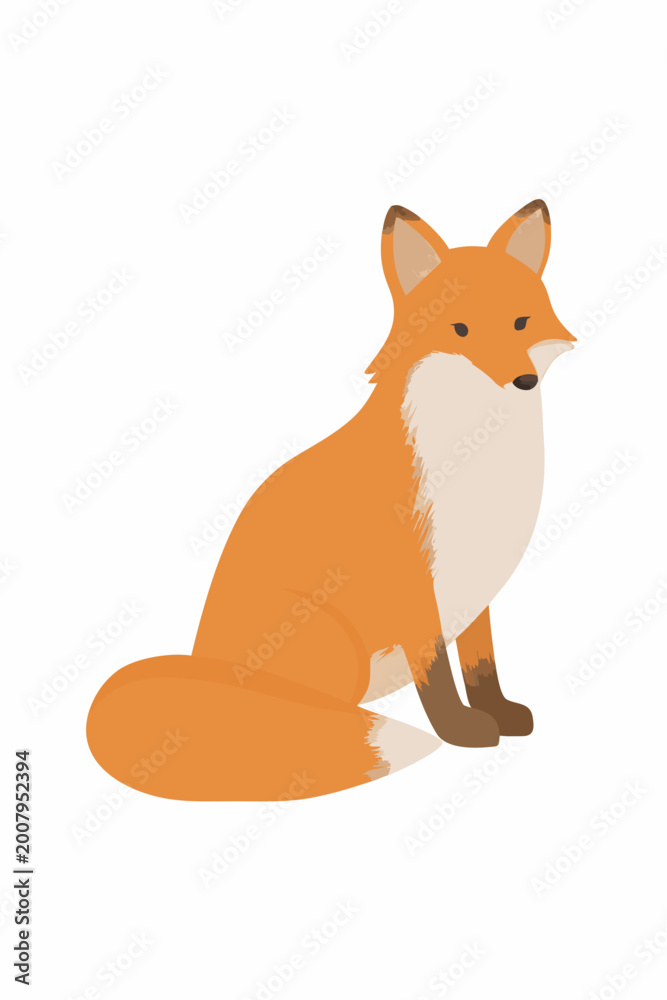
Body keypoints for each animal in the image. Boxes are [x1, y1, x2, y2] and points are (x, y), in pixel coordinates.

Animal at [87, 199, 575, 801]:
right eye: (459, 329)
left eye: (520, 323)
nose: (523, 381)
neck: (477, 456)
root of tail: (202, 665)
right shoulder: (414, 584)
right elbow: (437, 675)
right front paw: (460, 730)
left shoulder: (474, 581)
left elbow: (481, 666)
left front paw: (499, 712)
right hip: (331, 643)